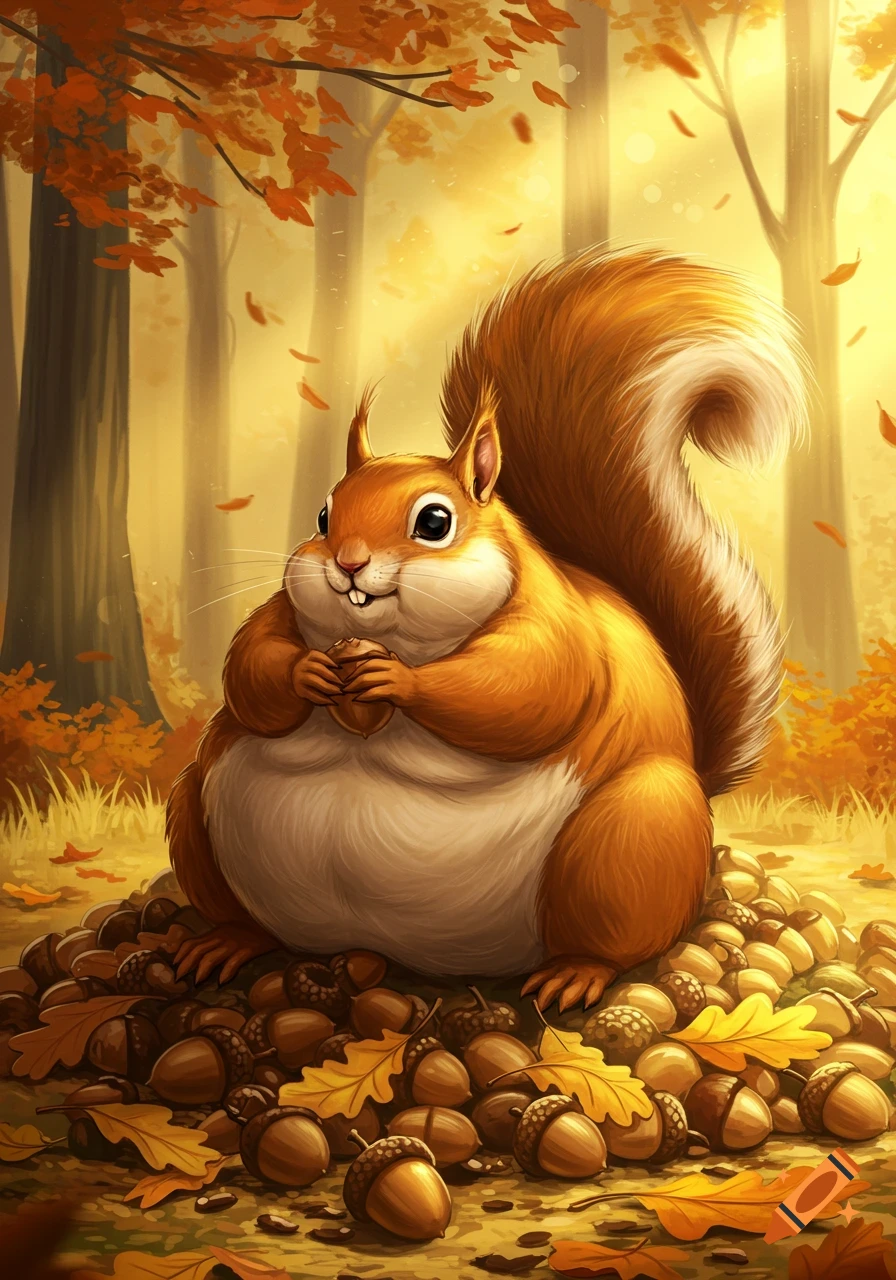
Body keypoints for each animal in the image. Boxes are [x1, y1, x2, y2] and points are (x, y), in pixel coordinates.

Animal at [167, 246, 806, 1012]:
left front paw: (396, 679)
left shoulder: (556, 628)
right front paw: (308, 672)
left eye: (435, 522)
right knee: (244, 912)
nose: (347, 563)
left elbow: (524, 691)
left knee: (618, 937)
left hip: (629, 834)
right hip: (195, 810)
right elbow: (250, 673)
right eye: (322, 517)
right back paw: (226, 943)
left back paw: (574, 973)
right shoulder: (277, 614)